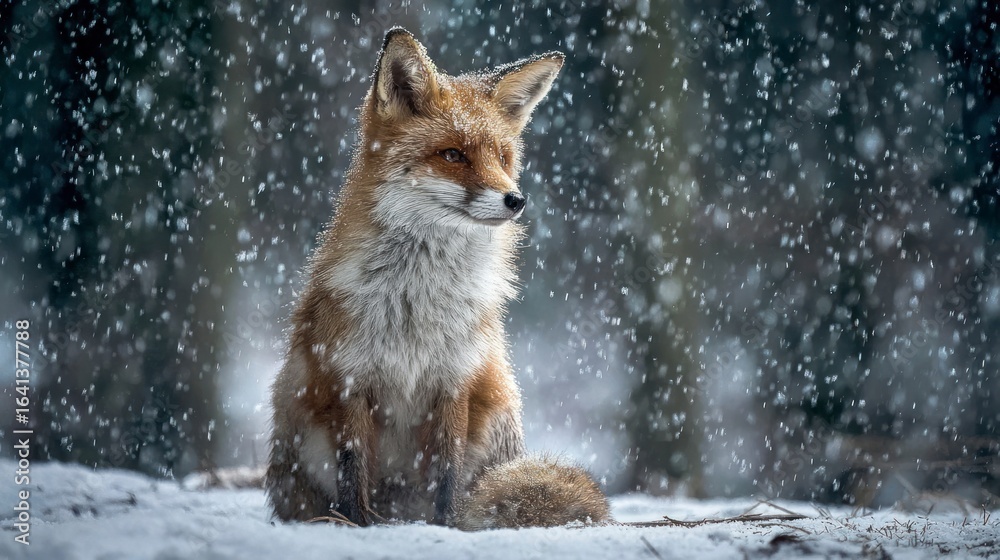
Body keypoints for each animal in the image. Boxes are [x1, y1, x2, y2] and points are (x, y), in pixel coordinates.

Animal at [265, 27, 609, 529]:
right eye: (453, 155)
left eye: (502, 157)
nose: (516, 200)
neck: (418, 297)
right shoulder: (350, 380)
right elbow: (353, 466)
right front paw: (357, 525)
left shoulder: (455, 379)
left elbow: (446, 470)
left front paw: (445, 526)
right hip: (300, 417)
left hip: (497, 412)